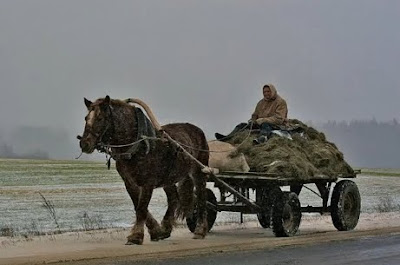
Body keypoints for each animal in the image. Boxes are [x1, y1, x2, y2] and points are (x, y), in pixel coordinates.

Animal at [77, 95, 209, 243]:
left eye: (100, 118)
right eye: (86, 118)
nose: (84, 143)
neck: (138, 144)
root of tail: (197, 130)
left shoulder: (148, 182)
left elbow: (142, 207)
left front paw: (136, 235)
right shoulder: (129, 182)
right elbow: (138, 205)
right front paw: (156, 231)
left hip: (199, 172)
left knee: (201, 198)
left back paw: (200, 230)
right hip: (168, 178)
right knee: (173, 199)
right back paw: (166, 228)